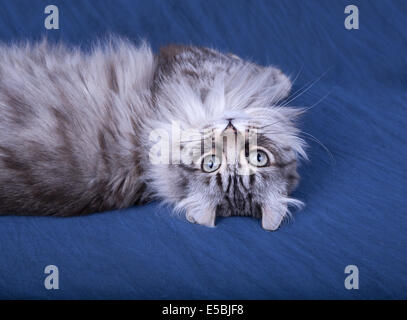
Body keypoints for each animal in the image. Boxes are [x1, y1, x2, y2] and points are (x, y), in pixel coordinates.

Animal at [0, 38, 306, 230]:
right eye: (211, 163)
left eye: (258, 157)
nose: (229, 128)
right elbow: (253, 73)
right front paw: (281, 82)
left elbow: (248, 71)